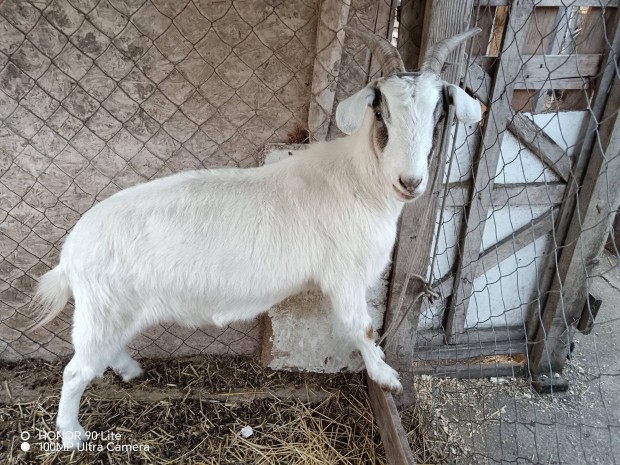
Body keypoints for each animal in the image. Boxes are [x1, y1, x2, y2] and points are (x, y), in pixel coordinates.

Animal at [31, 27, 482, 448]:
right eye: (382, 112)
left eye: (439, 112)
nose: (410, 182)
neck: (360, 181)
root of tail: (69, 257)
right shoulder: (345, 275)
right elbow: (363, 328)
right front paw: (386, 377)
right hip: (103, 307)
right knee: (75, 370)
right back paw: (72, 435)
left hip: (118, 310)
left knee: (105, 351)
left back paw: (130, 370)